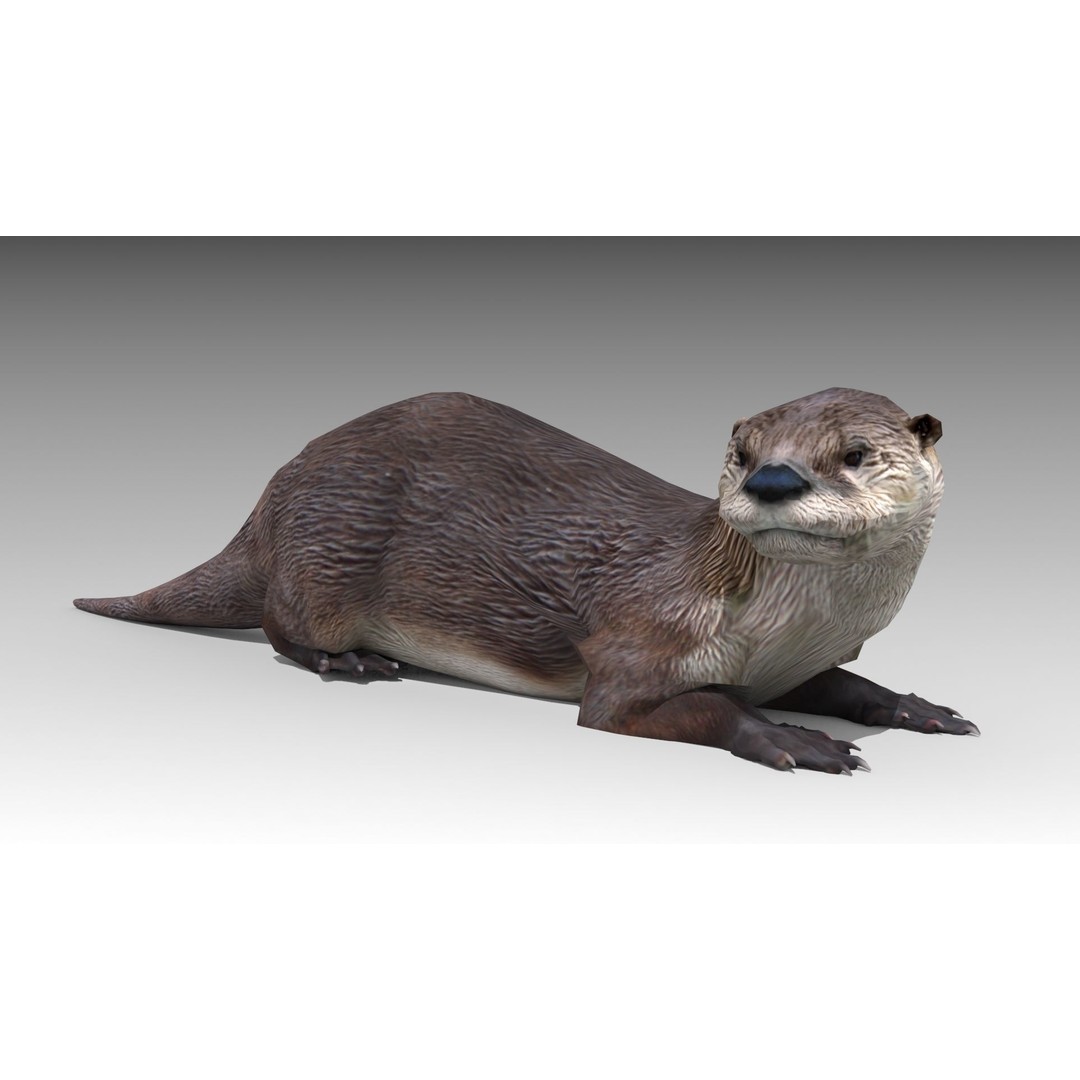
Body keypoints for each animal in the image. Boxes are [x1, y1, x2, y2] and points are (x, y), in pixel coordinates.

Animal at [74, 388, 977, 774]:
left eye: (854, 452)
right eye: (743, 452)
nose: (774, 479)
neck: (783, 633)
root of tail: (274, 492)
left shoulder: (800, 659)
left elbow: (848, 684)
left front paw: (918, 708)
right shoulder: (646, 640)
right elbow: (691, 708)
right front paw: (793, 738)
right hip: (327, 549)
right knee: (281, 626)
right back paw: (352, 662)